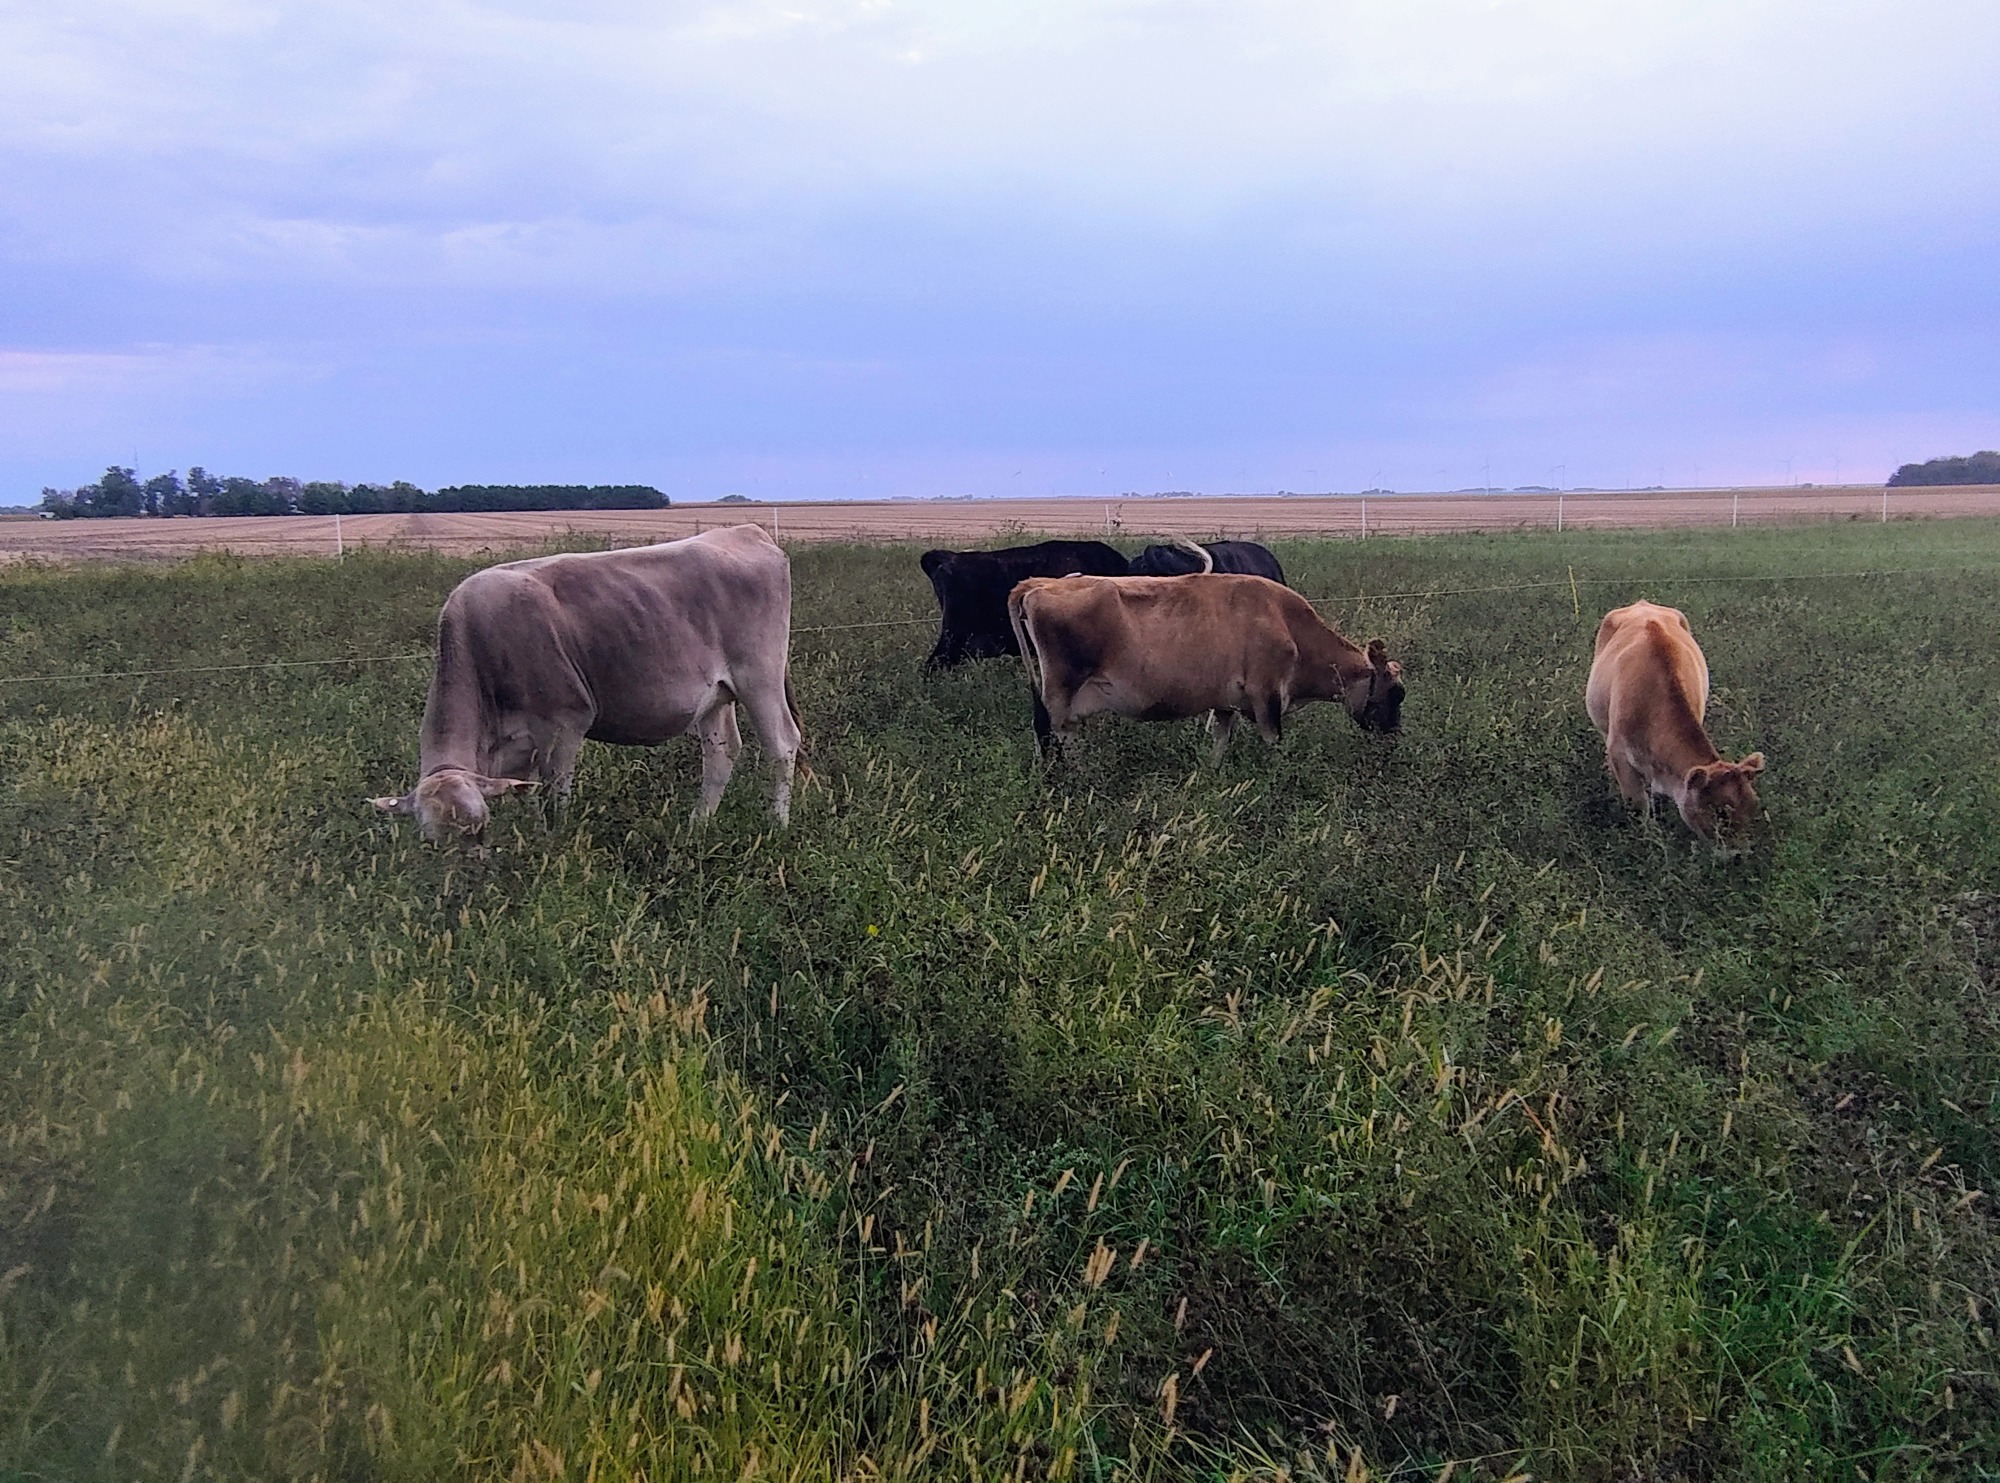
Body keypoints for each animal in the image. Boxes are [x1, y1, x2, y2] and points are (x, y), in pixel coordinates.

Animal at [370, 524, 803, 843]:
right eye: (432, 839)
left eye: (478, 829)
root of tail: (746, 531)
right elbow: (525, 795)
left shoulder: (565, 722)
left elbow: (556, 795)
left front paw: (554, 845)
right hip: (716, 694)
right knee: (721, 752)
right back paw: (697, 825)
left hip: (759, 674)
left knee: (782, 744)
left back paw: (777, 826)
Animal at [1006, 573, 1403, 756]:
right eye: (1395, 694)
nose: (1394, 738)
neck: (1288, 623)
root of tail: (1040, 583)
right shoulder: (1266, 696)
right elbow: (1274, 744)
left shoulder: (1225, 702)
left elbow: (1219, 744)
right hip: (1062, 695)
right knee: (1056, 739)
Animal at [1585, 600, 1764, 843]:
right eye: (1720, 812)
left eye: (1753, 807)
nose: (1740, 852)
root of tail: (1642, 604)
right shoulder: (1619, 753)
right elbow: (1638, 805)